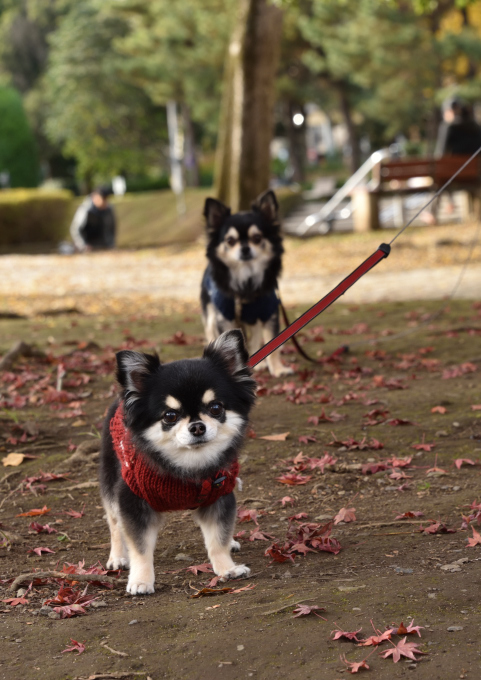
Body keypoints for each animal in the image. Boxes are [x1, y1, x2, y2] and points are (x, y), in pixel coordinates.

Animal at [200, 190, 290, 378]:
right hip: (211, 316)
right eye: (230, 240)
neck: (246, 280)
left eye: (256, 238)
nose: (245, 248)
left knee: (254, 337)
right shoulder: (225, 318)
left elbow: (272, 345)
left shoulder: (269, 313)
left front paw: (278, 369)